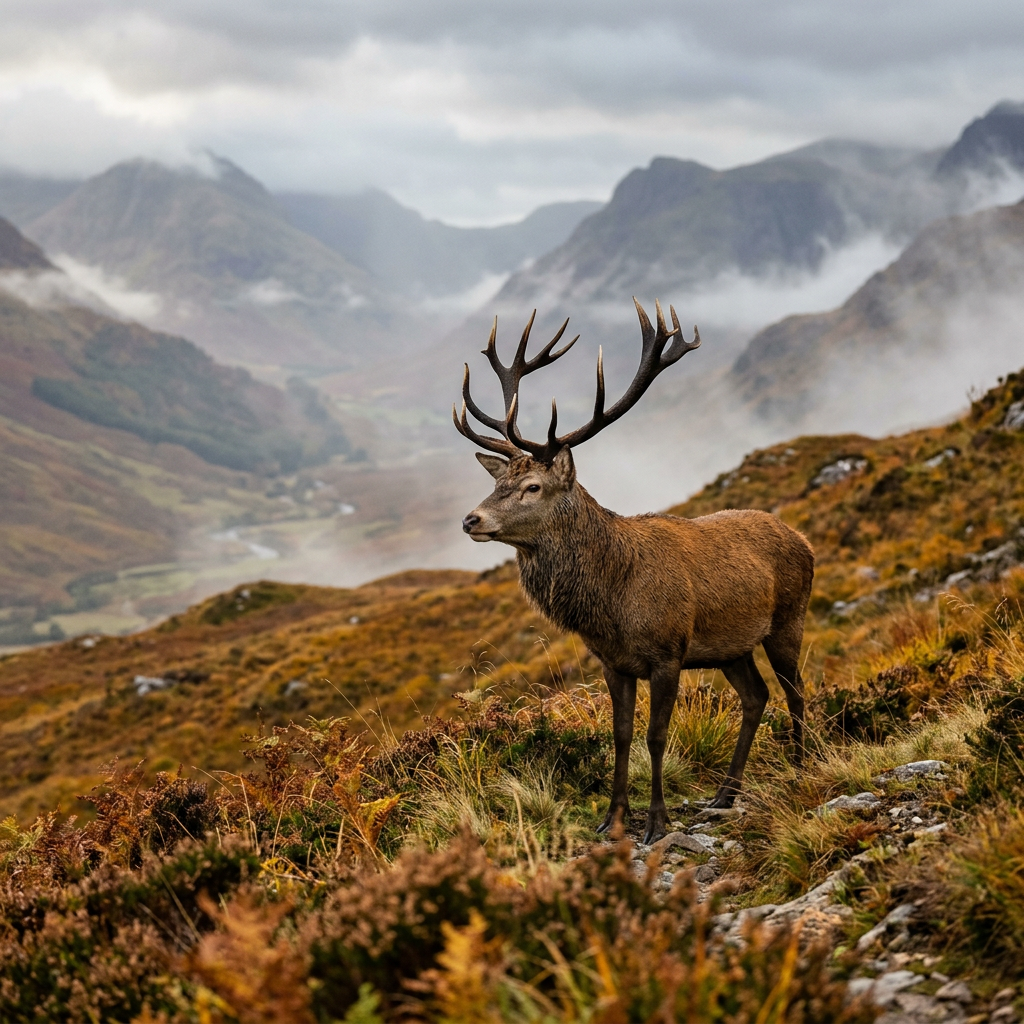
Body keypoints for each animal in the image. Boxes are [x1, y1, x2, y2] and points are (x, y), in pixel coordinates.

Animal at [454, 299, 814, 845]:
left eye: (533, 486)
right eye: (499, 483)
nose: (471, 520)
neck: (612, 602)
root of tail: (805, 541)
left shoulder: (667, 652)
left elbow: (656, 734)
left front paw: (657, 822)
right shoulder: (614, 661)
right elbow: (621, 735)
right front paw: (613, 818)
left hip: (788, 618)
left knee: (795, 690)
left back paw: (801, 766)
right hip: (730, 646)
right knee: (757, 696)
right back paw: (725, 793)